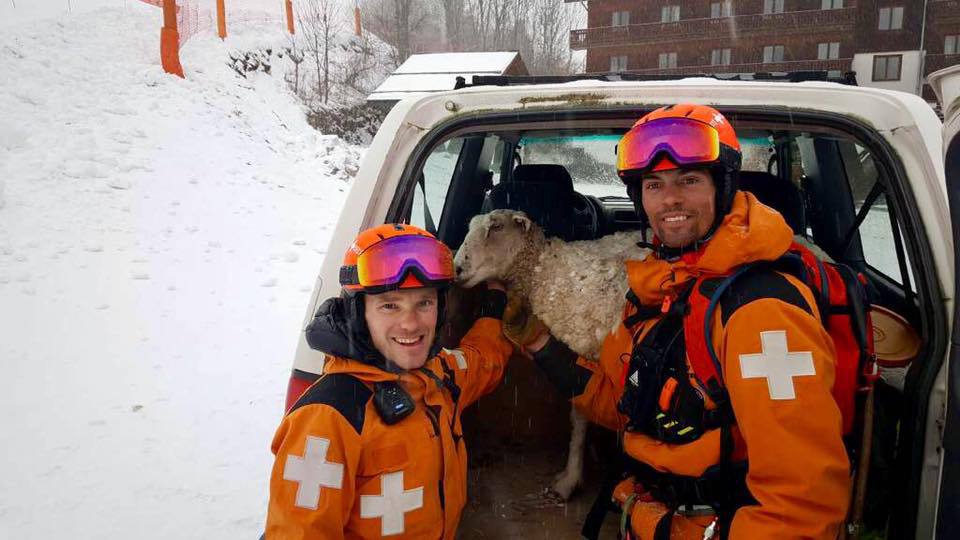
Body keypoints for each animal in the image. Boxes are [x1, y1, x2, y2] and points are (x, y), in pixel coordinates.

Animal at [454, 209, 648, 500]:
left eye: (496, 227)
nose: (456, 268)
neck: (544, 268)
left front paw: (572, 480)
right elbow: (581, 410)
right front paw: (571, 476)